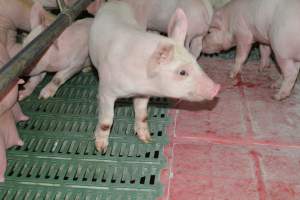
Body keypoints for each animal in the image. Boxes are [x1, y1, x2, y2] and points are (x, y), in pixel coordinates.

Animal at [88, 0, 219, 152]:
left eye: (194, 61)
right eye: (182, 72)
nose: (217, 87)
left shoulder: (143, 94)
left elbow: (142, 114)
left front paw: (147, 139)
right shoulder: (106, 90)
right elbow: (106, 120)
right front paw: (101, 149)